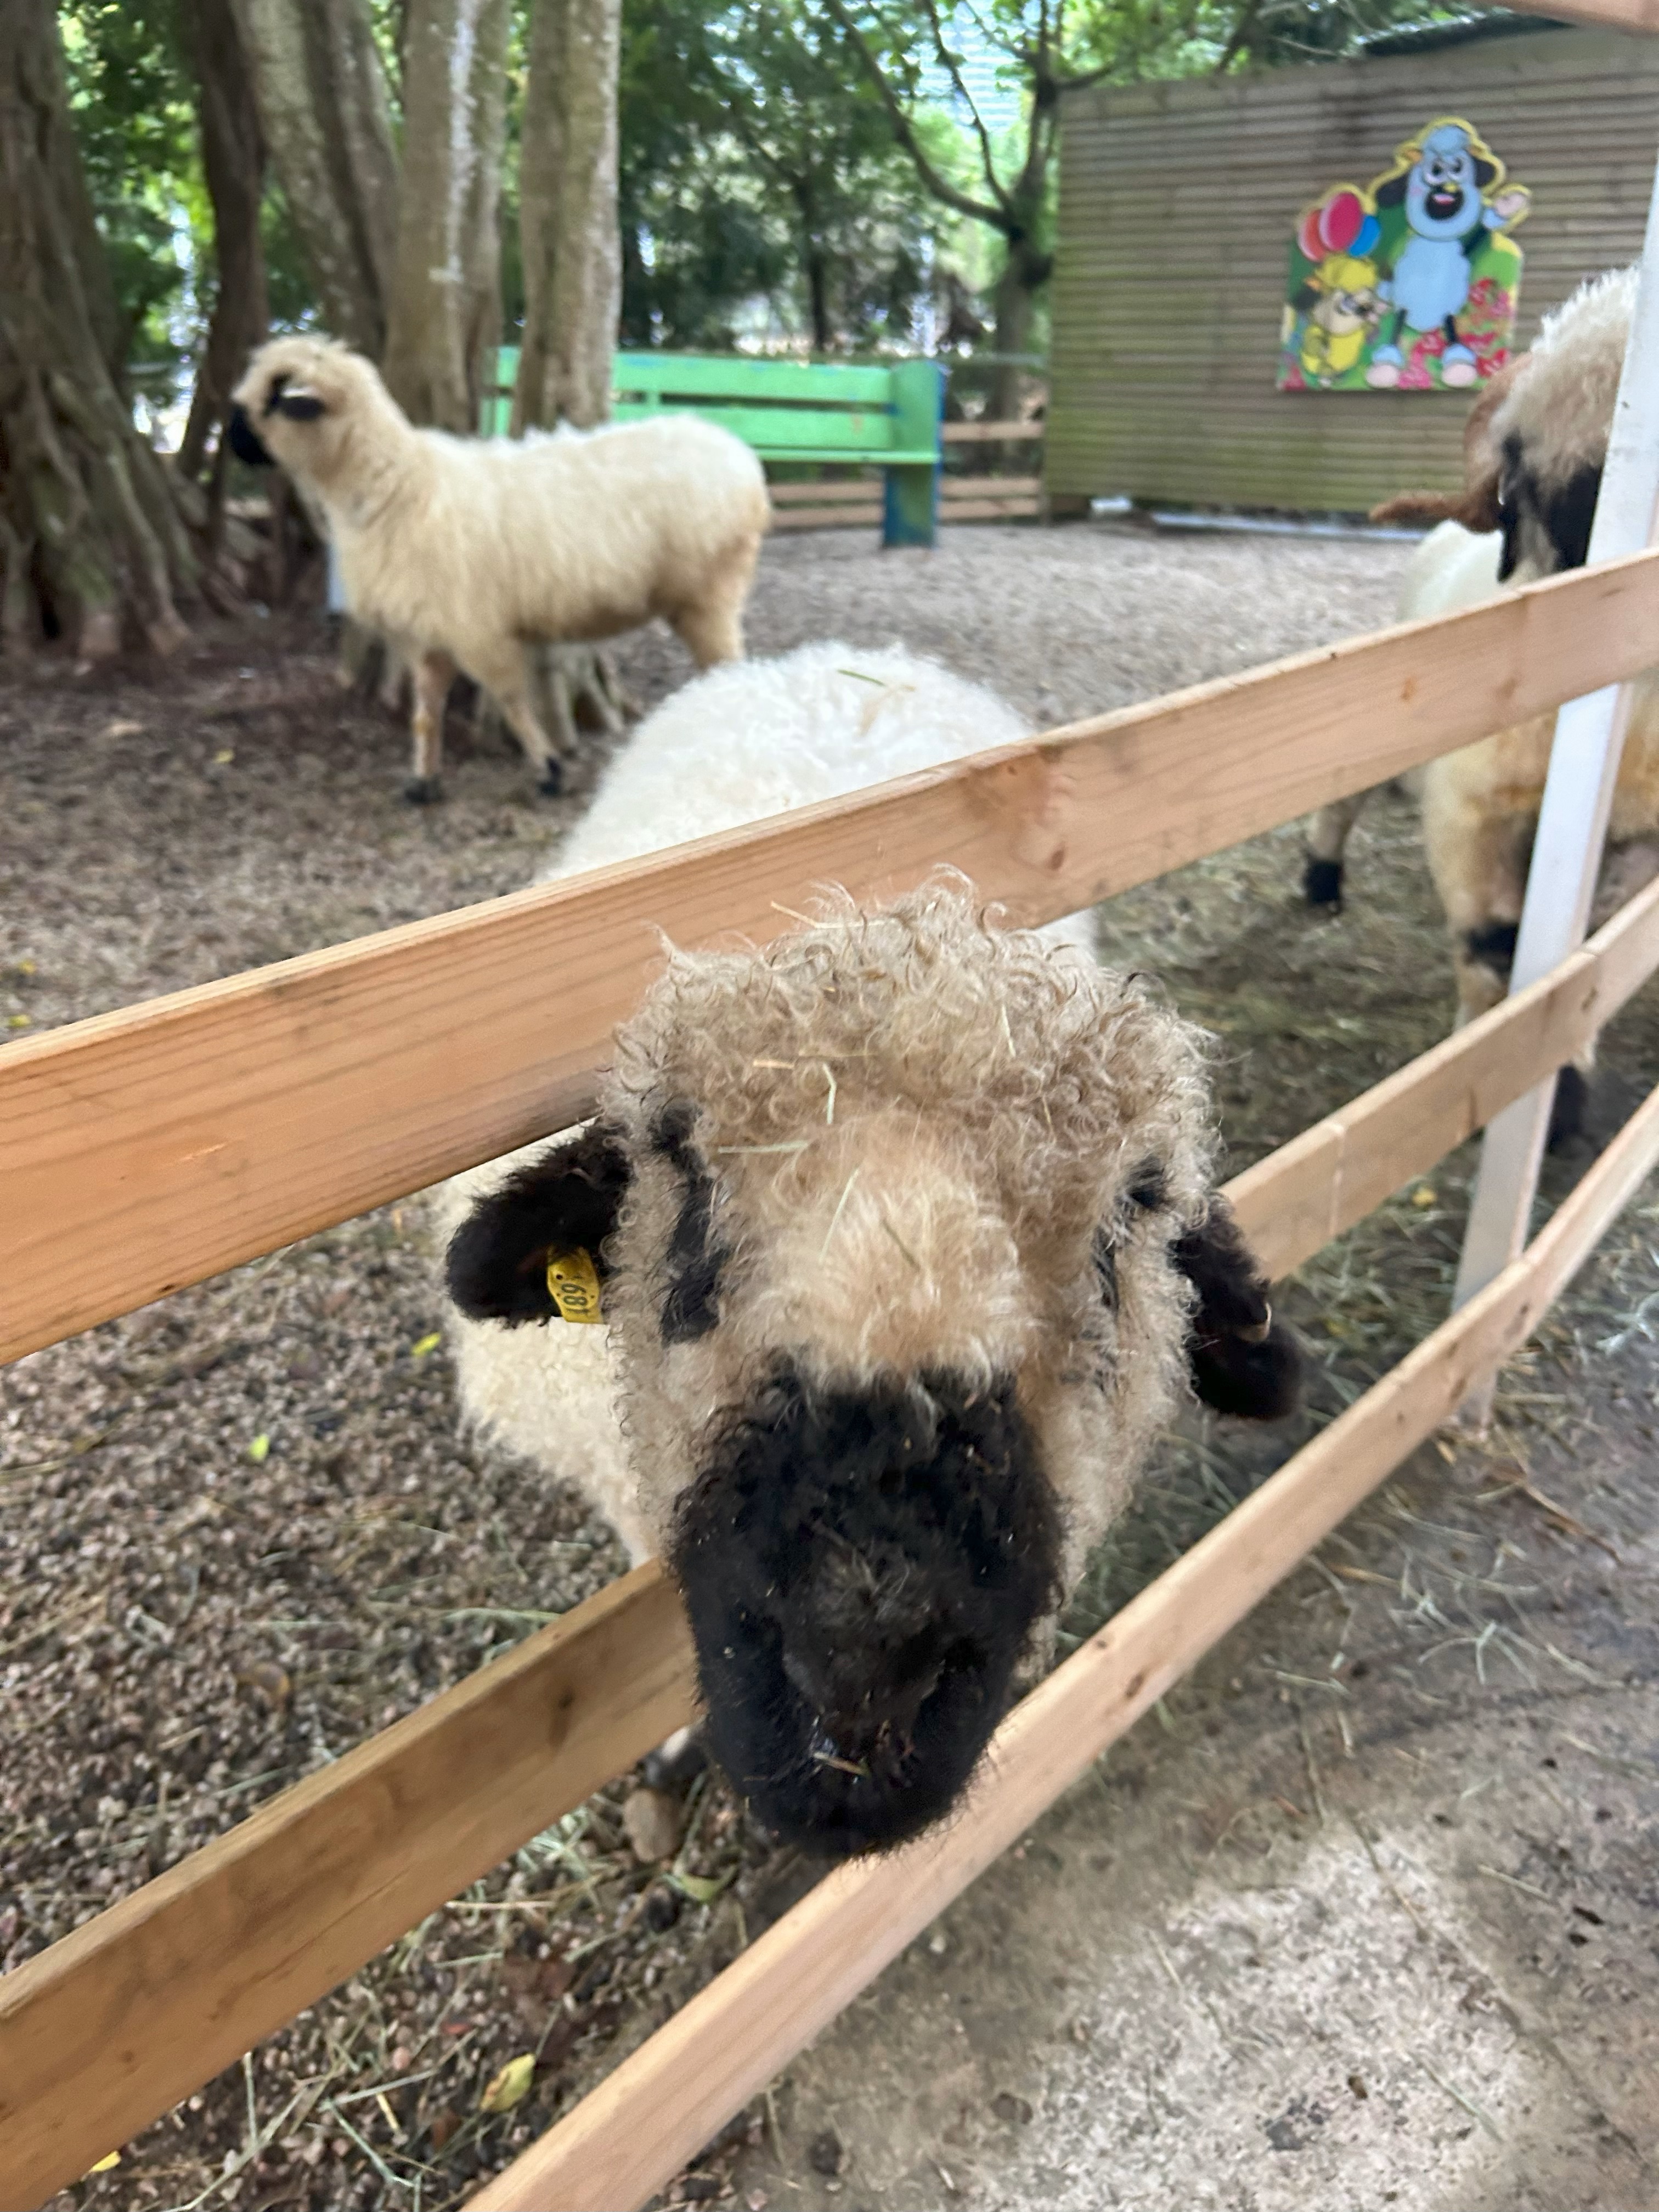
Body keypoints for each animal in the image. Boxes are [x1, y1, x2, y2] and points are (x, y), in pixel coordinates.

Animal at [227, 334, 771, 803]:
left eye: (274, 394)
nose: (231, 440)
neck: (396, 487)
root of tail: (740, 456)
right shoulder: (430, 631)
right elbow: (426, 711)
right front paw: (423, 781)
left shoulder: (476, 629)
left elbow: (511, 701)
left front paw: (549, 769)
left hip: (712, 589)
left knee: (729, 664)